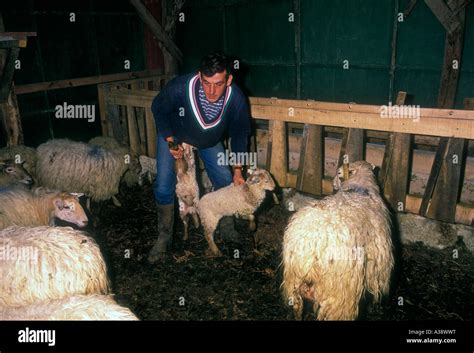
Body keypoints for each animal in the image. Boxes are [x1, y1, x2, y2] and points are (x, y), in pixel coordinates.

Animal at [282, 161, 392, 320]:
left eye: (338, 173)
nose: (333, 184)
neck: (359, 188)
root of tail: (312, 243)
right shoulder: (378, 263)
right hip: (341, 293)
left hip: (294, 281)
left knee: (297, 307)